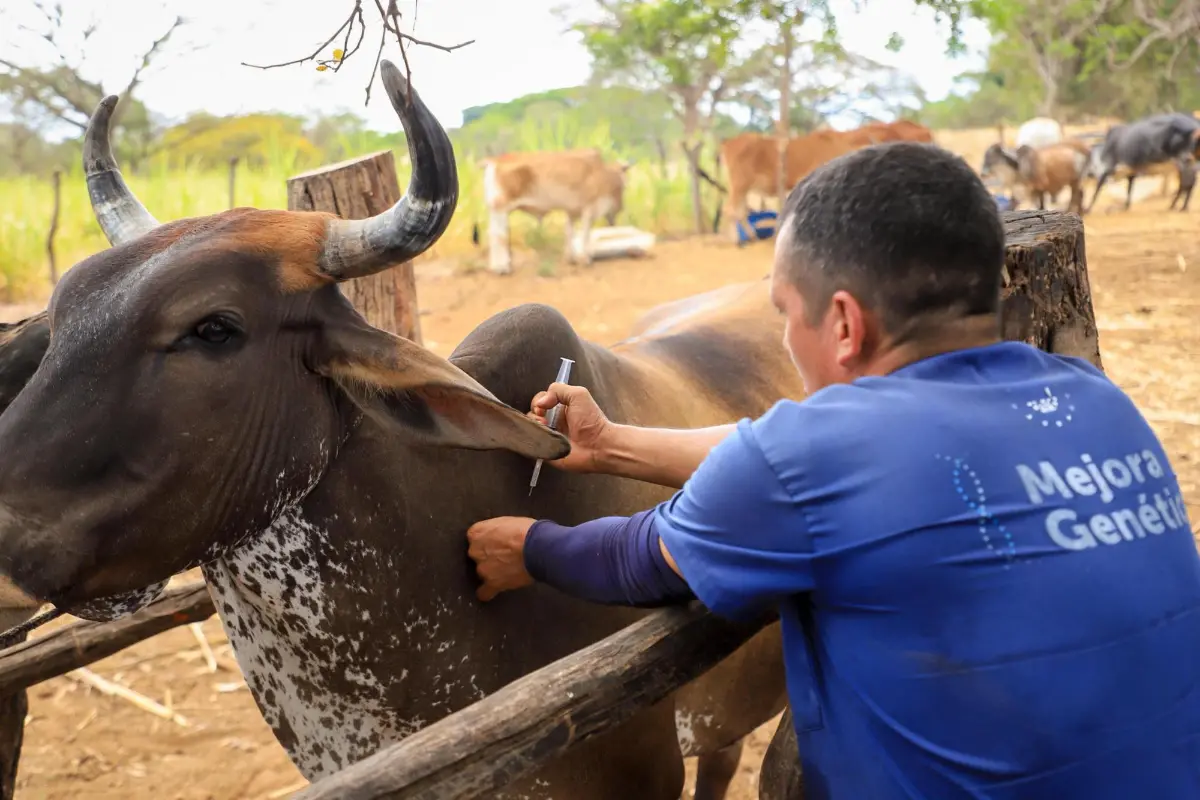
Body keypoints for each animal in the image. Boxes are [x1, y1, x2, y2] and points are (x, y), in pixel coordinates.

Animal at [478, 149, 630, 274]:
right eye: (624, 186)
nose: (622, 207)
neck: (603, 174)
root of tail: (495, 160)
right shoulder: (589, 209)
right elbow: (585, 234)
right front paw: (585, 259)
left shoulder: (571, 211)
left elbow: (569, 232)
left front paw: (570, 258)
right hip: (500, 209)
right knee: (499, 235)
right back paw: (501, 268)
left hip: (496, 211)